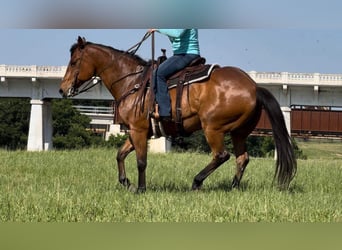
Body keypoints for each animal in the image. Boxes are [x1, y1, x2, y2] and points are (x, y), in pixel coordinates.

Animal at [59, 36, 296, 192]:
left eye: (74, 62)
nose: (62, 89)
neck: (132, 82)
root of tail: (254, 87)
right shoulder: (137, 131)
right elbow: (120, 154)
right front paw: (125, 182)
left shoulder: (138, 130)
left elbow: (141, 161)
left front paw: (141, 189)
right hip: (239, 132)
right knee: (242, 158)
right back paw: (233, 187)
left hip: (213, 128)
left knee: (222, 155)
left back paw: (197, 182)